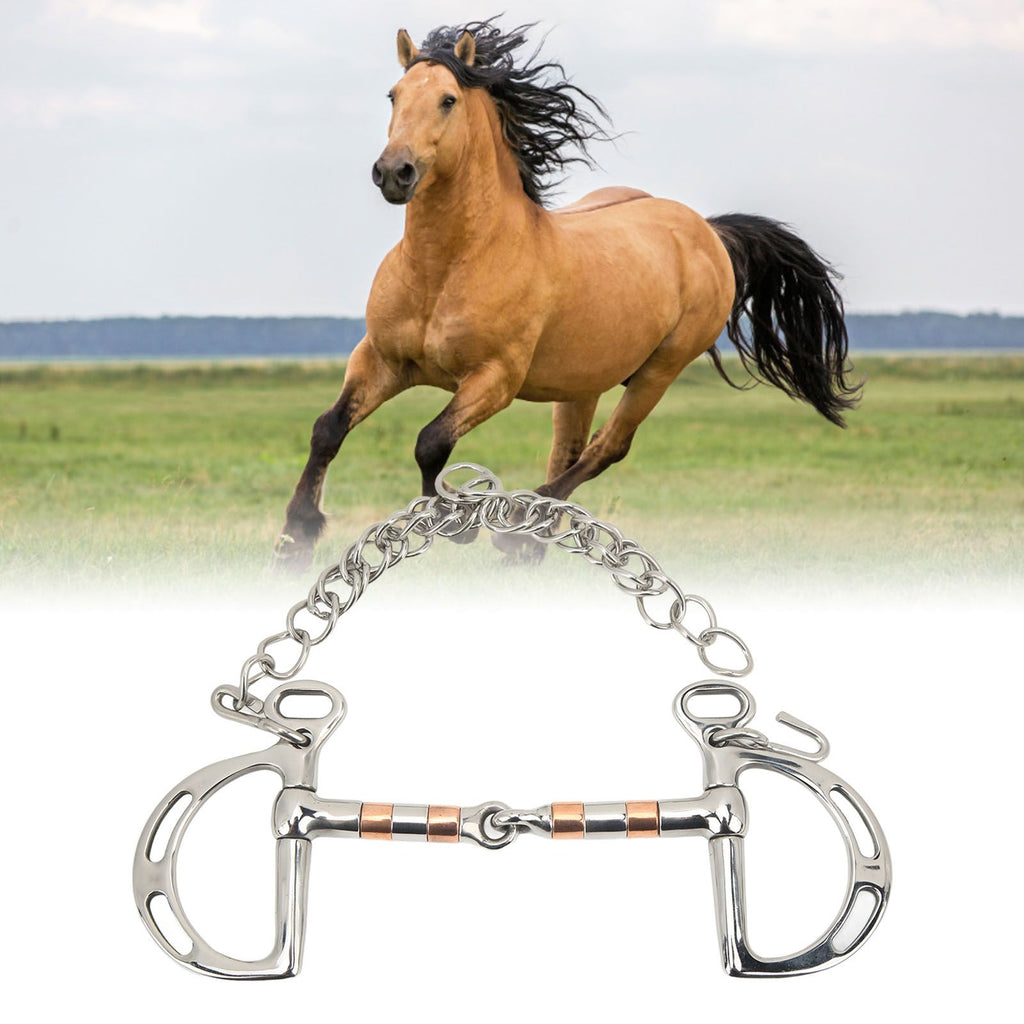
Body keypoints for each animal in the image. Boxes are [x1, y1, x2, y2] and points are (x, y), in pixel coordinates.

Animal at [275, 19, 859, 567]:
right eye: (394, 95)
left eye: (447, 99)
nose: (394, 172)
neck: (447, 267)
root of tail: (707, 231)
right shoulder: (382, 359)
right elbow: (328, 428)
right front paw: (295, 539)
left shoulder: (494, 378)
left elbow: (431, 442)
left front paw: (447, 525)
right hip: (583, 382)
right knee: (570, 450)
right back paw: (530, 544)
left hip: (659, 370)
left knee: (605, 449)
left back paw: (516, 533)